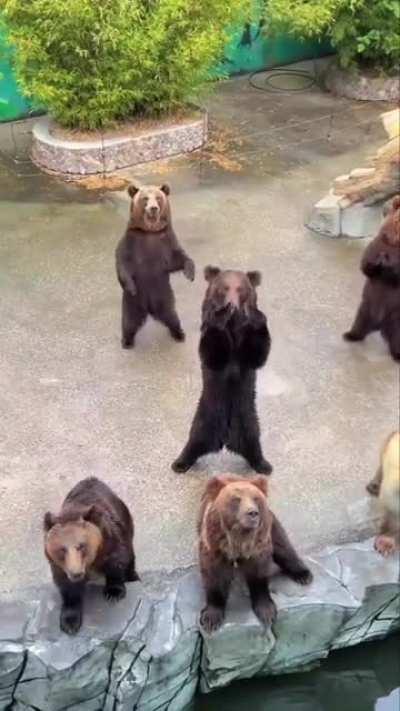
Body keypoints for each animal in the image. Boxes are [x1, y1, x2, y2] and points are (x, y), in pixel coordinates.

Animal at [44, 477, 139, 635]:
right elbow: (68, 588)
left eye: (81, 545)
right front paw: (70, 622)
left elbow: (117, 562)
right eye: (62, 549)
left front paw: (113, 592)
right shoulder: (60, 567)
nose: (76, 573)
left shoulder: (111, 541)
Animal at [115, 182, 195, 348]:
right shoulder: (131, 242)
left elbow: (177, 258)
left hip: (164, 297)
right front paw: (131, 287)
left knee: (172, 317)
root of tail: (149, 308)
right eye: (145, 198)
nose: (153, 208)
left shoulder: (166, 240)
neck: (150, 231)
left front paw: (190, 273)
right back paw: (127, 341)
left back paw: (179, 333)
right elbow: (123, 263)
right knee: (129, 322)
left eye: (158, 198)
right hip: (132, 303)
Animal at [172, 266, 272, 474]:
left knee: (254, 443)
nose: (231, 303)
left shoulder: (244, 352)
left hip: (248, 419)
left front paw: (255, 314)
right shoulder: (211, 338)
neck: (233, 327)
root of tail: (226, 439)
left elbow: (256, 354)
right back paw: (180, 463)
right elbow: (213, 354)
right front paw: (221, 314)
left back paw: (264, 465)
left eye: (241, 288)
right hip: (205, 417)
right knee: (193, 441)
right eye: (224, 287)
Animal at [198, 474, 313, 633]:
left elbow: (259, 573)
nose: (252, 513)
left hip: (271, 524)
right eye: (236, 499)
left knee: (283, 545)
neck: (239, 540)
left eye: (256, 498)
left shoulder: (259, 546)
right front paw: (211, 618)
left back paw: (304, 575)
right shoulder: (214, 546)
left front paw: (266, 611)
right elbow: (214, 575)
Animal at [343, 195, 400, 361]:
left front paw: (388, 264)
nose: (384, 258)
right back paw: (351, 335)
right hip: (367, 306)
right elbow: (366, 266)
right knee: (360, 322)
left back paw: (397, 354)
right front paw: (377, 261)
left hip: (397, 317)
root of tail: (380, 326)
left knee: (397, 337)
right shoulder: (378, 244)